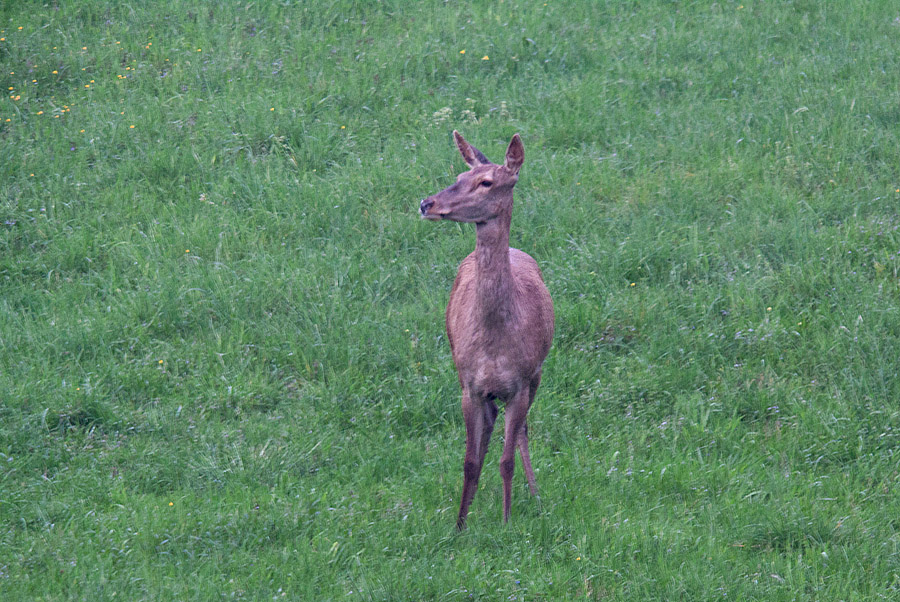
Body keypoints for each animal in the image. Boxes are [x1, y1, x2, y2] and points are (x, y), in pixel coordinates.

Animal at [418, 130, 552, 524]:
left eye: (487, 182)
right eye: (460, 176)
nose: (426, 203)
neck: (495, 341)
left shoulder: (520, 382)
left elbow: (506, 460)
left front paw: (507, 522)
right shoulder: (469, 384)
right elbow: (469, 461)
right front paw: (460, 524)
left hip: (537, 375)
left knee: (522, 432)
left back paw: (534, 495)